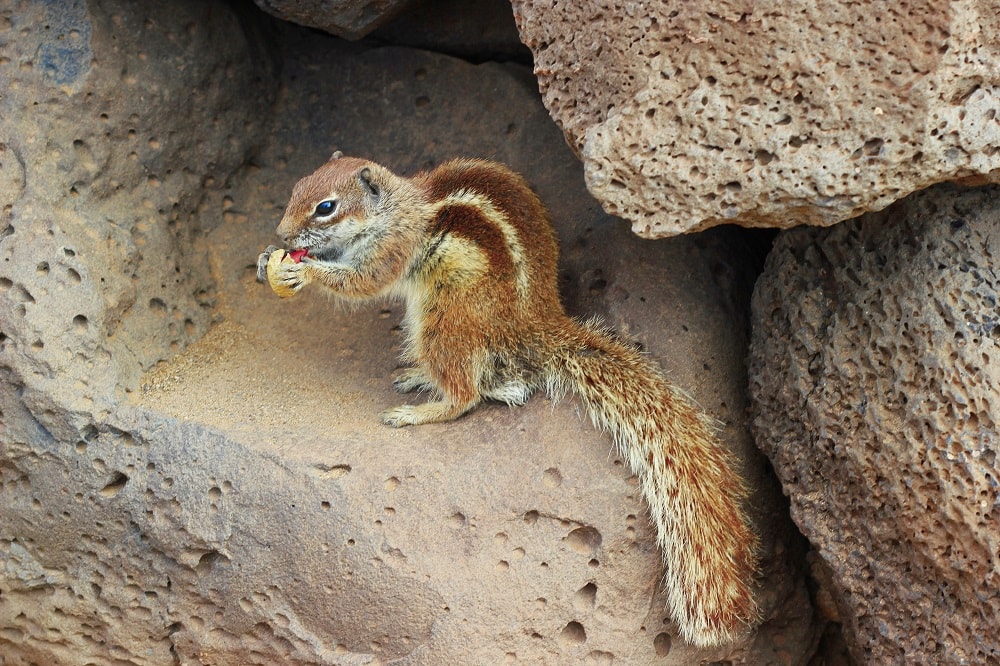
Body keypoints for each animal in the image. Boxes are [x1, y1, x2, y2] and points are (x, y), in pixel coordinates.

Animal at [256, 150, 756, 644]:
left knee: (465, 394)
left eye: (326, 207)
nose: (281, 234)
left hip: (444, 318)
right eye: (297, 187)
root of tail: (538, 325)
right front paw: (267, 260)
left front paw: (304, 268)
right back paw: (424, 378)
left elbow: (364, 282)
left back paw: (420, 410)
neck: (393, 209)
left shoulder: (393, 248)